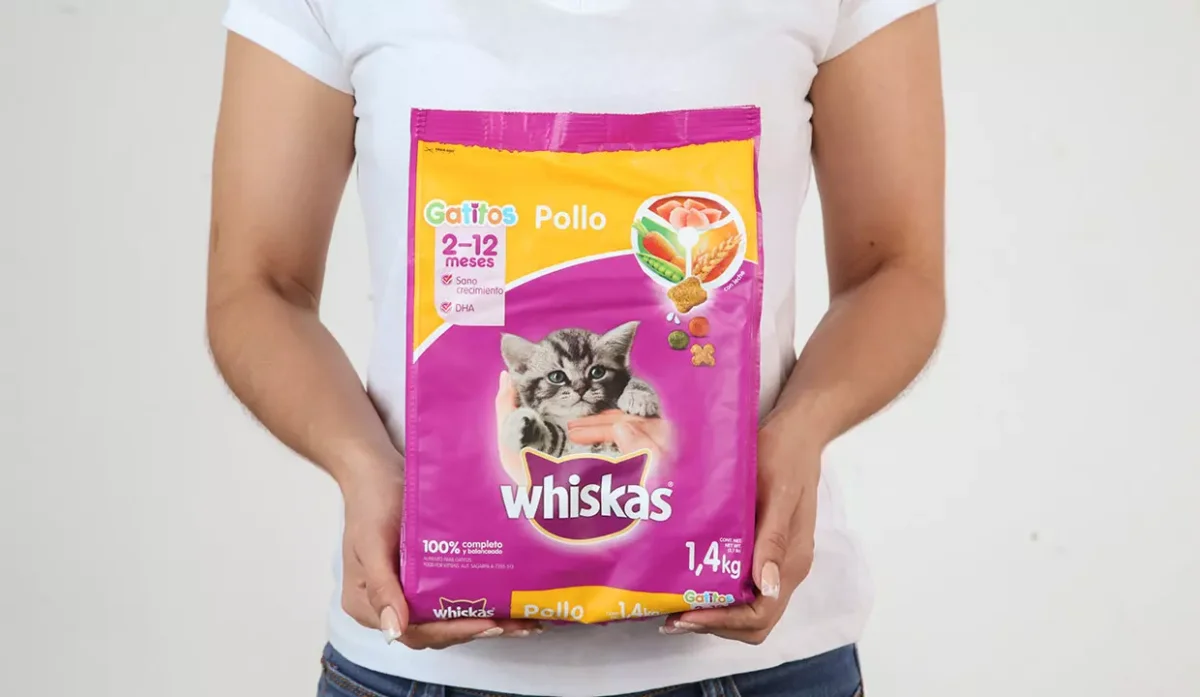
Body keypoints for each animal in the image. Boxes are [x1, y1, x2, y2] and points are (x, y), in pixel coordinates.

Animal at [500, 321, 660, 458]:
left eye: (597, 372)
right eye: (557, 376)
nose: (581, 388)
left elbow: (635, 381)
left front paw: (639, 397)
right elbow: (554, 442)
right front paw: (522, 426)